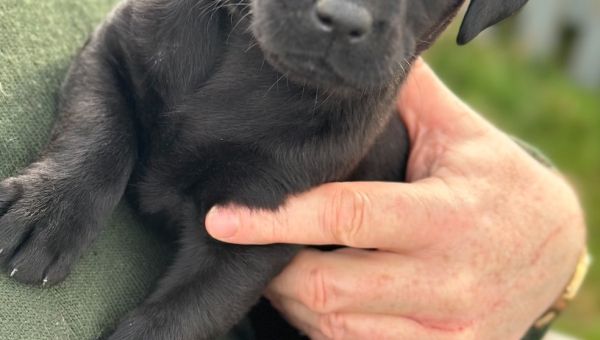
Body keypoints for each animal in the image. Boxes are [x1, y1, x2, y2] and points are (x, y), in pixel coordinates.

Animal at [0, 0, 524, 338]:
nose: (342, 19)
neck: (252, 72)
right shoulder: (113, 49)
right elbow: (98, 129)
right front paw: (48, 211)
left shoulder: (253, 238)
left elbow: (180, 318)